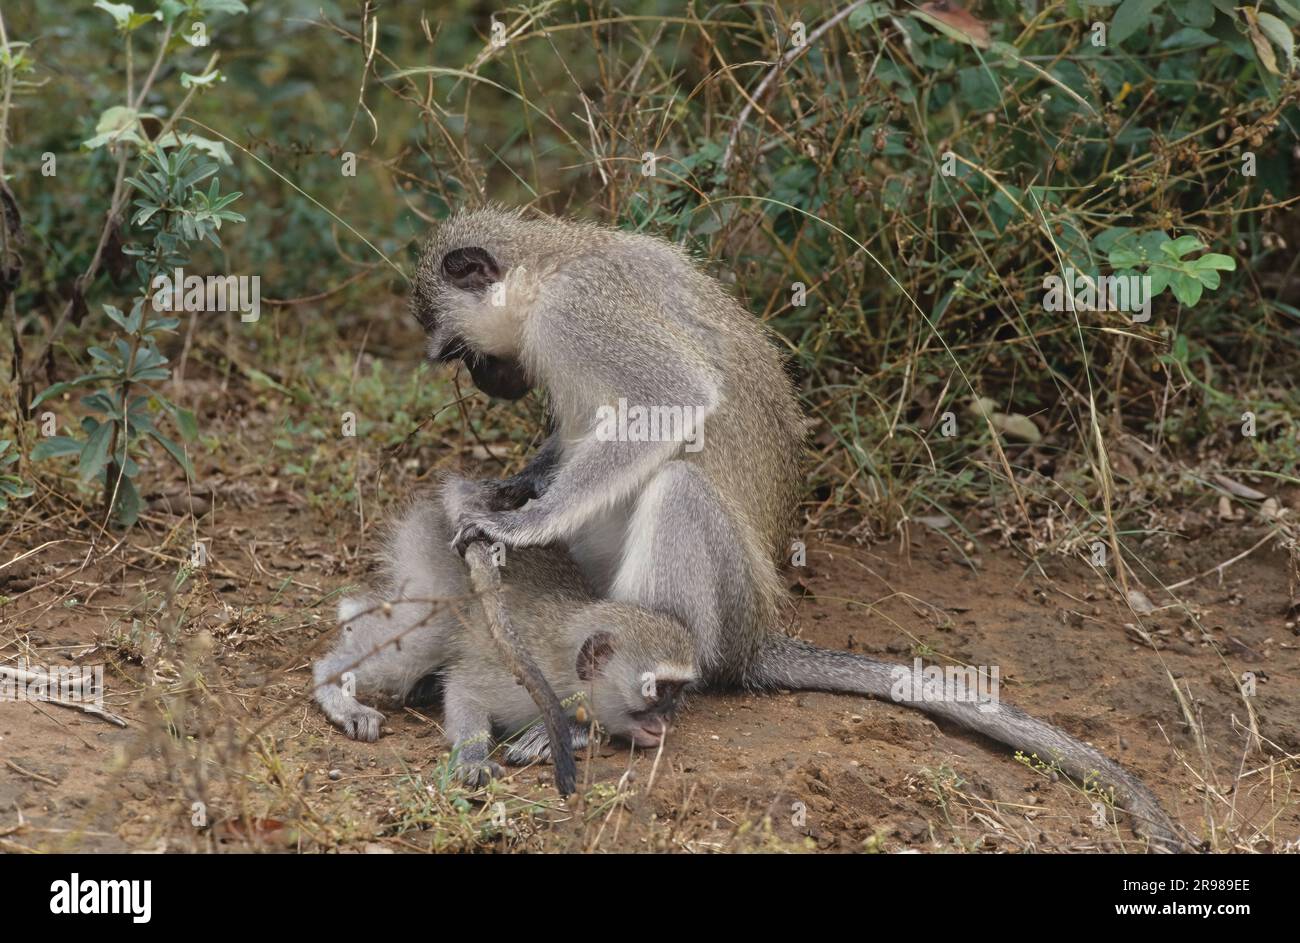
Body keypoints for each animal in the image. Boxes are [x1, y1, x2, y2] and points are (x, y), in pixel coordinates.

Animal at [312, 478, 702, 780]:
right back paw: (335, 686)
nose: (666, 721)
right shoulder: (525, 675)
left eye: (678, 691)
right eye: (656, 690)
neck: (565, 668)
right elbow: (464, 691)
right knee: (422, 644)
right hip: (439, 575)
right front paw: (474, 757)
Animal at [410, 208, 1185, 853]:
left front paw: (520, 521)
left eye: (457, 352)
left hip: (727, 605)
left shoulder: (582, 311)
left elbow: (673, 398)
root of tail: (756, 637)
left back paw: (594, 710)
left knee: (679, 491)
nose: (485, 381)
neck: (546, 264)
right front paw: (507, 488)